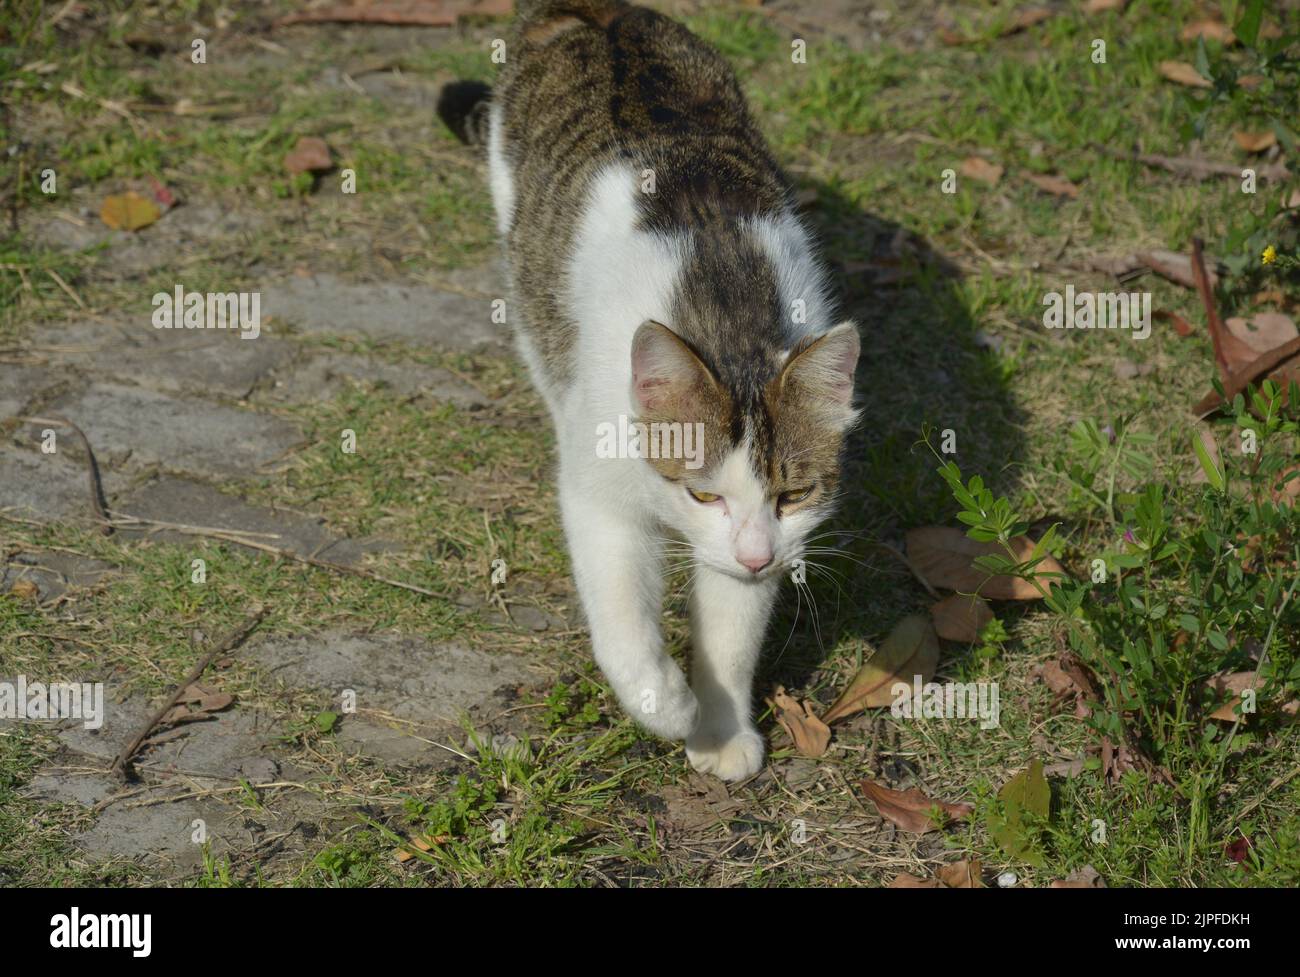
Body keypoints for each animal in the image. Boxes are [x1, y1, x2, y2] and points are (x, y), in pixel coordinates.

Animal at [439, 0, 863, 779]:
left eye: (793, 494)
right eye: (701, 492)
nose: (759, 557)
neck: (726, 317)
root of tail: (593, 10)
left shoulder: (752, 546)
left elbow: (731, 630)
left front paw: (720, 727)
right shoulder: (600, 496)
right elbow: (622, 622)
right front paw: (664, 702)